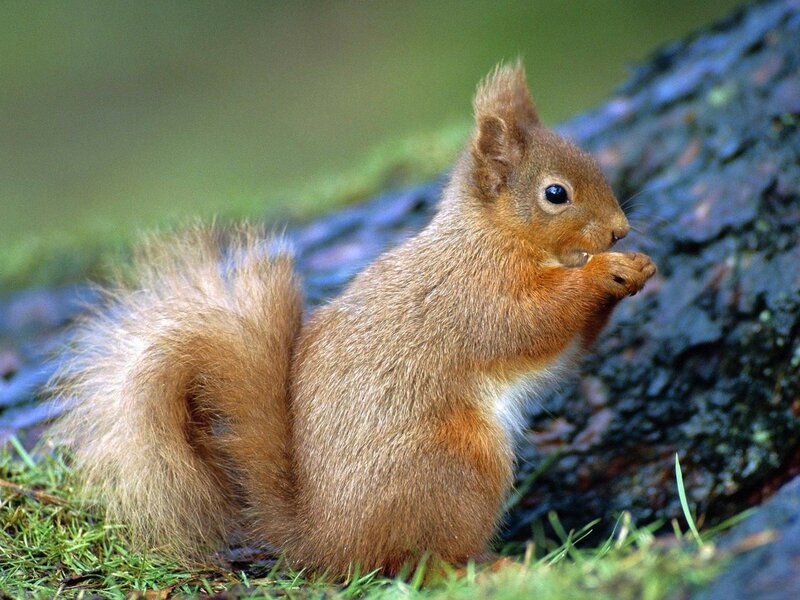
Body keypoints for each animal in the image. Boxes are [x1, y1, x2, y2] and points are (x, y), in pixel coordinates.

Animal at [50, 62, 656, 576]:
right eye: (556, 193)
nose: (620, 230)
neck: (493, 237)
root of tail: (327, 540)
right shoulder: (477, 296)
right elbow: (534, 322)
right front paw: (605, 271)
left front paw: (638, 268)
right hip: (457, 467)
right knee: (418, 562)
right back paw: (493, 565)